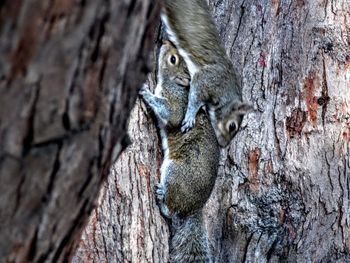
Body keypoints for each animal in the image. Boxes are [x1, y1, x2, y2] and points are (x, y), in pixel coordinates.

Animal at [139, 40, 219, 262]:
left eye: (173, 59)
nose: (164, 42)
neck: (176, 85)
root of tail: (195, 207)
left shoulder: (177, 103)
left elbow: (171, 114)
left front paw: (146, 93)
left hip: (175, 173)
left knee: (172, 212)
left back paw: (162, 200)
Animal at [160, 0, 253, 147]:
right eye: (232, 126)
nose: (223, 145)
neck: (227, 90)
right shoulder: (209, 79)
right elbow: (195, 96)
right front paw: (190, 117)